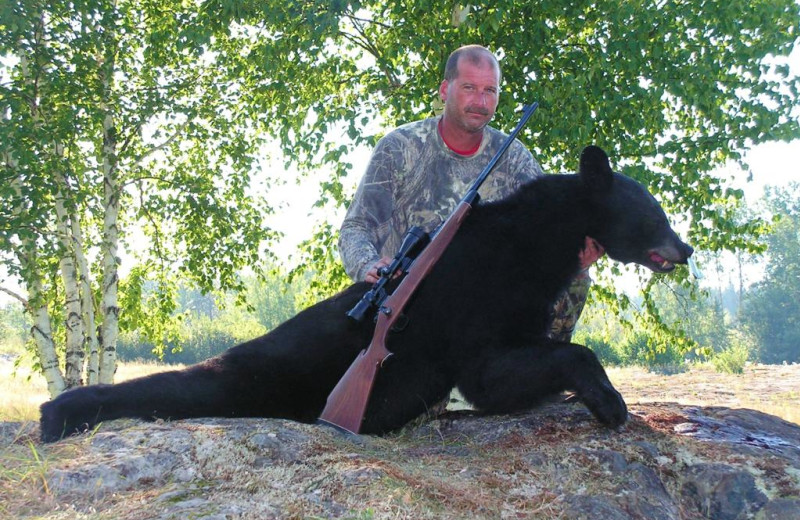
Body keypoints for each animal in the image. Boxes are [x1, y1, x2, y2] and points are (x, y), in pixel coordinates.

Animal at [40, 146, 692, 442]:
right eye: (656, 213)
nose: (685, 248)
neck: (532, 242)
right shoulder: (475, 315)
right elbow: (503, 371)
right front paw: (609, 402)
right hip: (269, 370)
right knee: (196, 384)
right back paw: (59, 411)